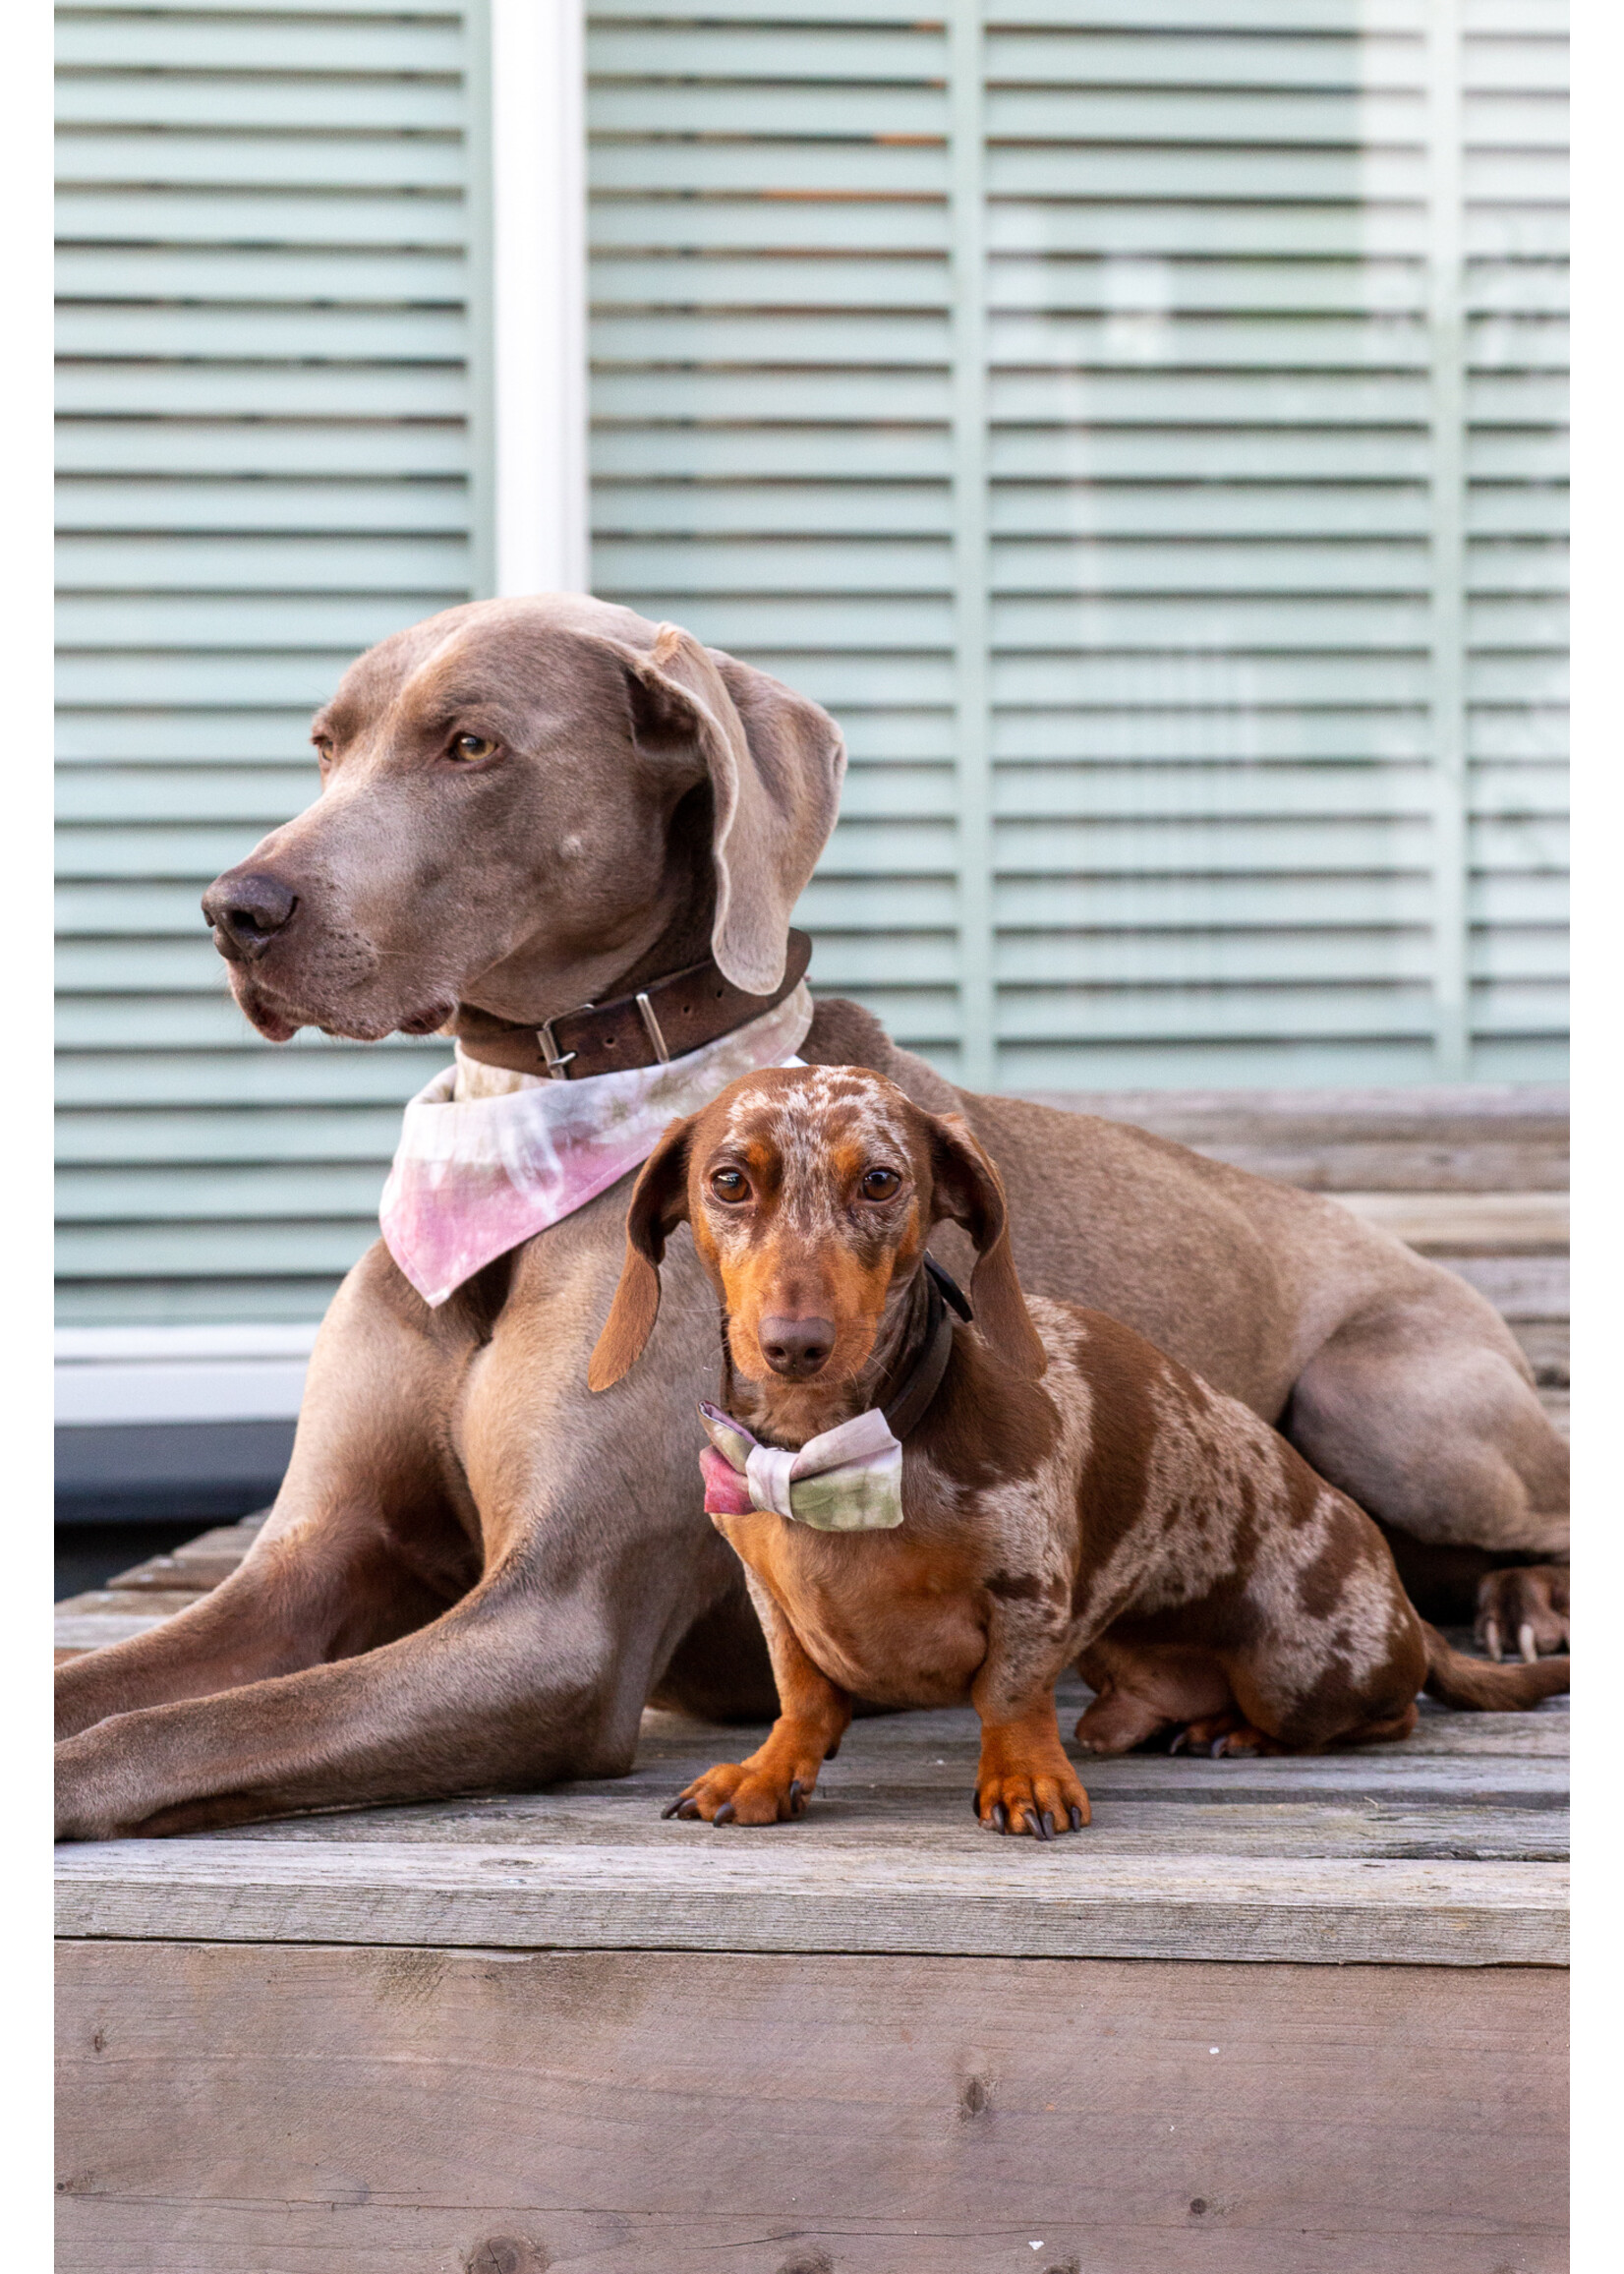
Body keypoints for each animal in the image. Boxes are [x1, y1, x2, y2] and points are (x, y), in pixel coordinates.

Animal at [50, 596, 1564, 1837]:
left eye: (470, 745)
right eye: (325, 746)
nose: (235, 907)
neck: (524, 1136)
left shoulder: (551, 1627)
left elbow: (178, 1732)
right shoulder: (310, 1563)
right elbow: (115, 1682)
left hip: (1388, 1399)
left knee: (1530, 1522)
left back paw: (1517, 1609)